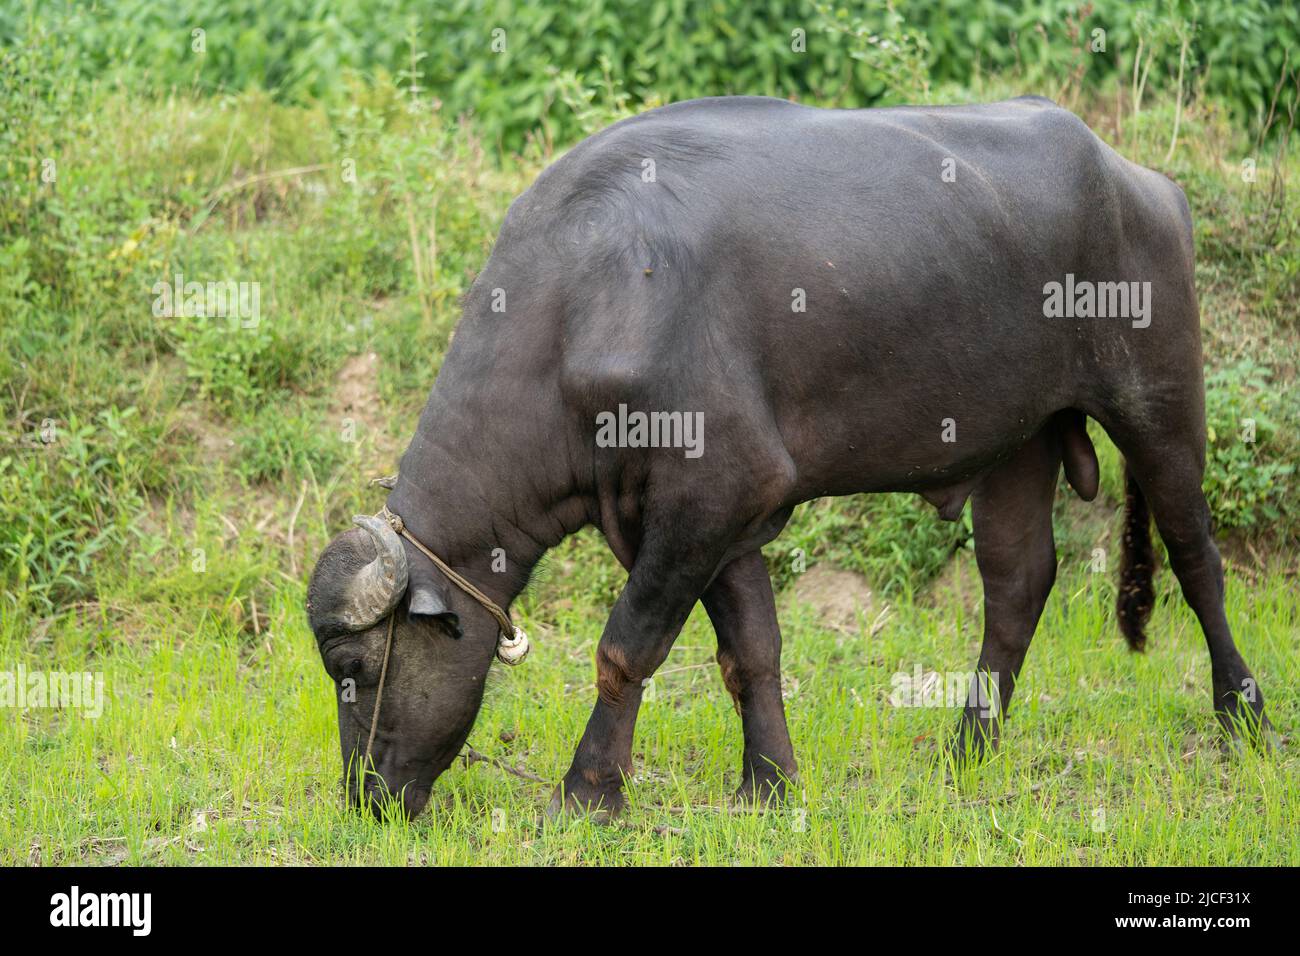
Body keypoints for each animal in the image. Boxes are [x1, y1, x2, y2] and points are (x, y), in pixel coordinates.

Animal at [306, 95, 1268, 822]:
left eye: (355, 670)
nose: (366, 797)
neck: (588, 308)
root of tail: (1141, 182)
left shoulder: (708, 499)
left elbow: (626, 648)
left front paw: (587, 792)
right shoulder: (718, 520)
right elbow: (752, 654)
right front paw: (770, 783)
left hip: (1160, 402)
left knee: (1197, 557)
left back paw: (1243, 715)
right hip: (1019, 442)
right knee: (1019, 585)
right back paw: (968, 744)